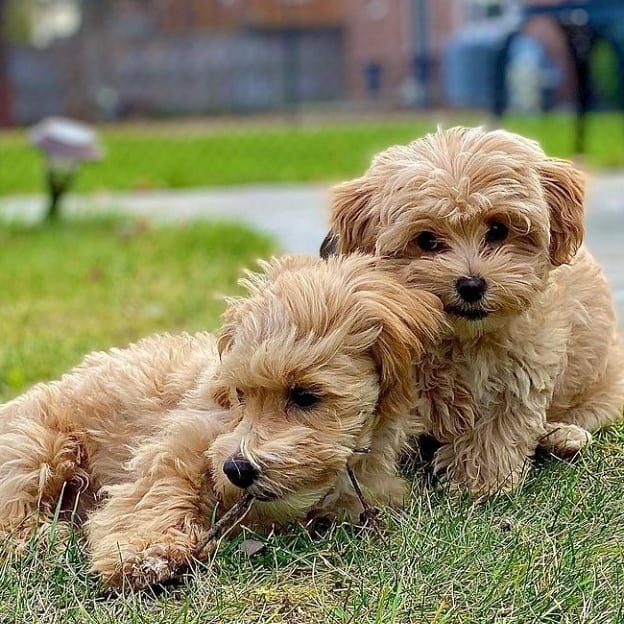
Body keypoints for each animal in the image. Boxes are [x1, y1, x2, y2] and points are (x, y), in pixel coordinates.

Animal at [0, 252, 444, 584]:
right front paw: (148, 550)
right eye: (240, 394)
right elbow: (156, 485)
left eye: (305, 395)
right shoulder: (184, 436)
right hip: (39, 446)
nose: (238, 469)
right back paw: (40, 538)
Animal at [322, 125, 624, 498]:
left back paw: (563, 436)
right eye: (426, 240)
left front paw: (481, 482)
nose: (471, 285)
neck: (461, 337)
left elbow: (500, 424)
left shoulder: (523, 367)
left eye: (498, 230)